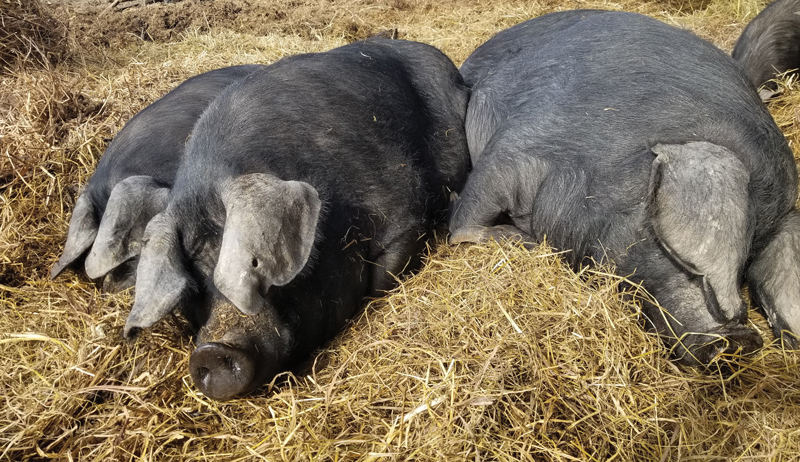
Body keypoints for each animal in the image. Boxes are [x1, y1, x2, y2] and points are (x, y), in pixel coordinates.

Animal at [446, 9, 800, 364]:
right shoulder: (514, 150)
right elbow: (465, 221)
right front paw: (524, 243)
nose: (740, 339)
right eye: (667, 241)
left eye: (747, 262)